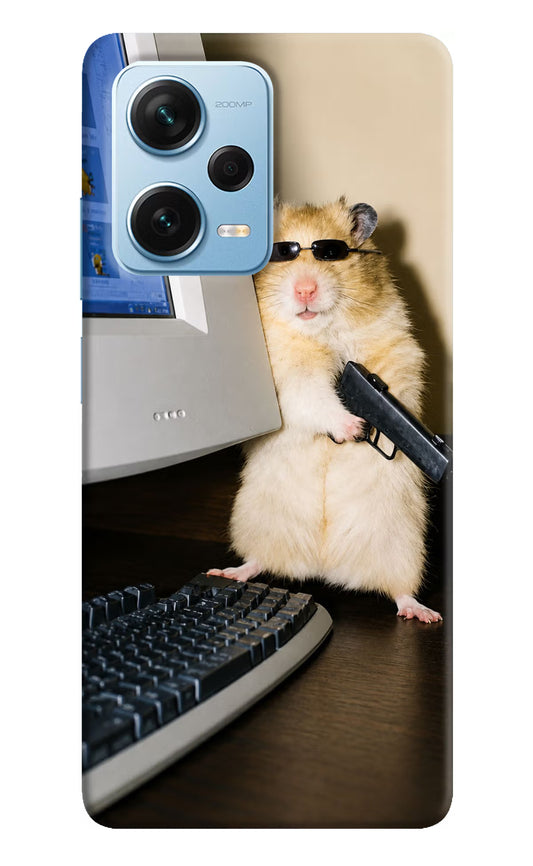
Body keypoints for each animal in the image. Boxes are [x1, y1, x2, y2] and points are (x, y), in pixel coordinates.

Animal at [208, 198, 442, 623]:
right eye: (281, 253)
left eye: (331, 253)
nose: (305, 289)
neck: (321, 330)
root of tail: (325, 567)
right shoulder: (288, 378)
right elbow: (314, 398)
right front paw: (353, 428)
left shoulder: (397, 350)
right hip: (257, 522)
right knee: (258, 561)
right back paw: (228, 572)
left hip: (403, 545)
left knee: (400, 590)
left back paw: (423, 613)